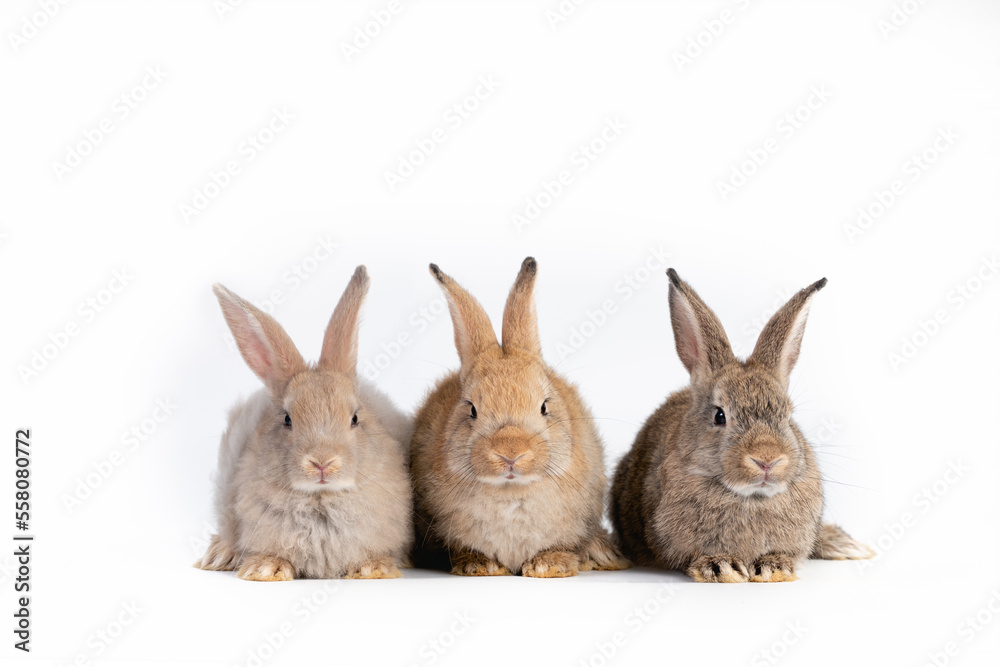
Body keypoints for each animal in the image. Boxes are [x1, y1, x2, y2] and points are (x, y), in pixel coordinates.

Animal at [195, 266, 413, 581]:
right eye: (287, 419)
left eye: (355, 418)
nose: (322, 463)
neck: (321, 497)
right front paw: (265, 569)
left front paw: (373, 568)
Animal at [409, 257, 630, 578]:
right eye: (471, 409)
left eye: (544, 406)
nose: (510, 453)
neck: (511, 492)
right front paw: (480, 565)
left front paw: (549, 565)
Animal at [610, 269, 873, 583]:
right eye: (719, 416)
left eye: (787, 416)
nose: (767, 460)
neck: (752, 497)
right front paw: (722, 567)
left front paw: (773, 567)